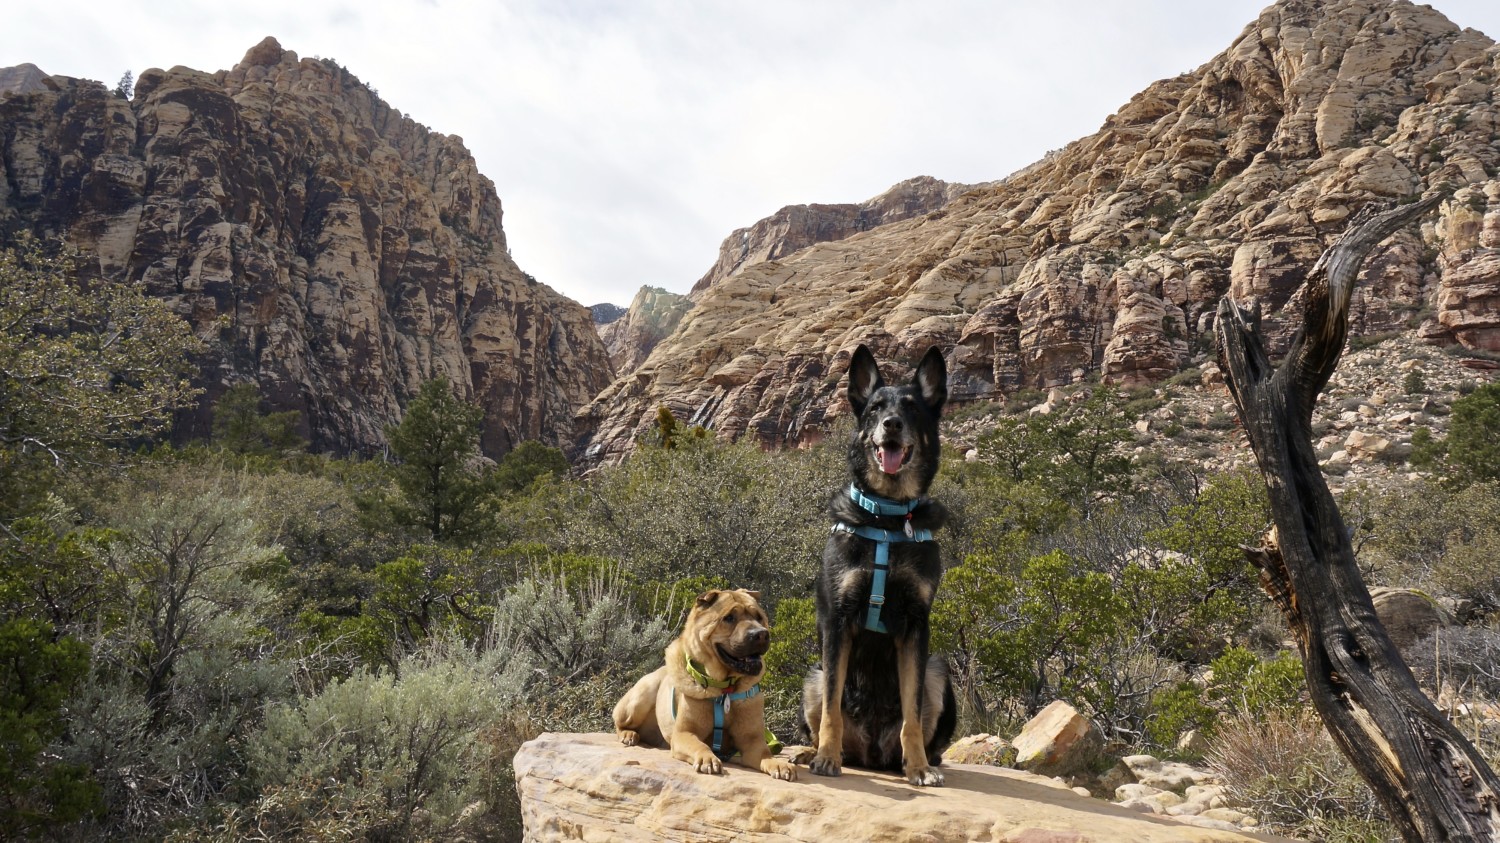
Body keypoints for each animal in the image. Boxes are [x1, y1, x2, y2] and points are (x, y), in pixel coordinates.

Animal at [612, 588, 798, 780]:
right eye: (729, 618)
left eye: (759, 617)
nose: (761, 634)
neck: (725, 688)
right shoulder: (684, 734)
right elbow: (699, 744)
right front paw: (707, 758)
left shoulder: (751, 740)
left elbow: (765, 754)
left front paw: (779, 764)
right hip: (640, 698)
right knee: (618, 721)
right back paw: (628, 734)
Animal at [804, 342, 954, 780]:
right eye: (874, 408)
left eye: (913, 408)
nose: (891, 424)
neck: (887, 517)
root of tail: (870, 753)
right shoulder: (838, 622)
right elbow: (832, 710)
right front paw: (826, 758)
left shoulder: (916, 626)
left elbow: (912, 714)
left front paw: (919, 767)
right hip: (811, 676)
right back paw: (814, 753)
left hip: (938, 669)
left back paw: (921, 761)